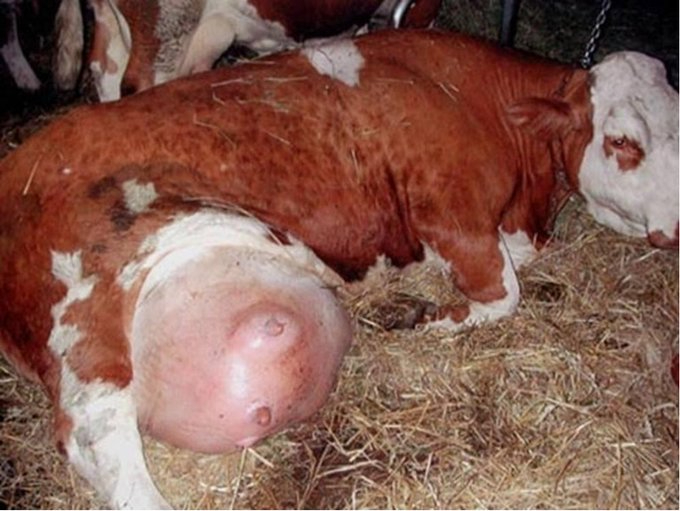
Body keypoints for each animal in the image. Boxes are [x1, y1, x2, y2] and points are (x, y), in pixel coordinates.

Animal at [1, 28, 678, 508]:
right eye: (622, 140)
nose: (676, 222)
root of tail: (18, 167)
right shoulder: (452, 216)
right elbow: (502, 294)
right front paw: (427, 319)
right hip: (86, 304)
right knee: (98, 432)